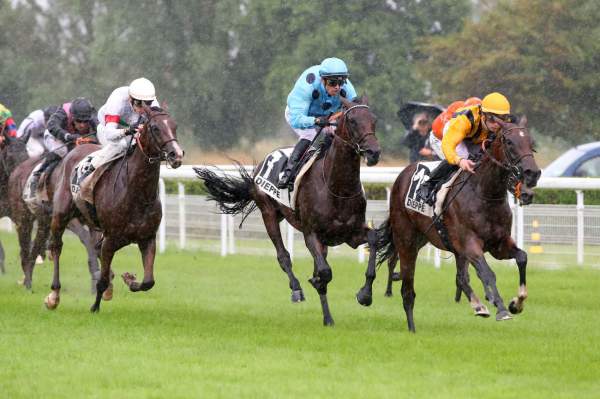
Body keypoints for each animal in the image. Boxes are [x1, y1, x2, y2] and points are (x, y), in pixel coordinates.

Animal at [44, 107, 183, 312]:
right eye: (156, 128)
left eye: (174, 126)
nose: (177, 155)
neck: (136, 193)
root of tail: (77, 147)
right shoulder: (111, 238)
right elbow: (101, 278)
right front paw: (95, 307)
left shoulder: (147, 238)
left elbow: (148, 281)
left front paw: (129, 279)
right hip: (61, 214)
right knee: (56, 246)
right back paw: (54, 295)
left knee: (95, 248)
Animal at [198, 96, 384, 324]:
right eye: (352, 121)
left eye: (374, 119)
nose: (373, 152)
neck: (338, 188)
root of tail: (261, 164)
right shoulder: (311, 233)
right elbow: (324, 271)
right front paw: (316, 282)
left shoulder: (352, 234)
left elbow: (373, 240)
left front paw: (365, 294)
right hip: (268, 213)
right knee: (283, 256)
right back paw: (297, 290)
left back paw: (327, 317)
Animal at [368, 117, 540, 332]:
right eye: (509, 142)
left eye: (531, 143)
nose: (533, 174)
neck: (484, 194)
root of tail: (402, 175)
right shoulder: (470, 243)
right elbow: (487, 273)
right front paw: (501, 309)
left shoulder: (498, 244)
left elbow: (522, 258)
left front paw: (517, 303)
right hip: (406, 239)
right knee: (406, 280)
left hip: (427, 238)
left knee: (461, 277)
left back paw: (478, 305)